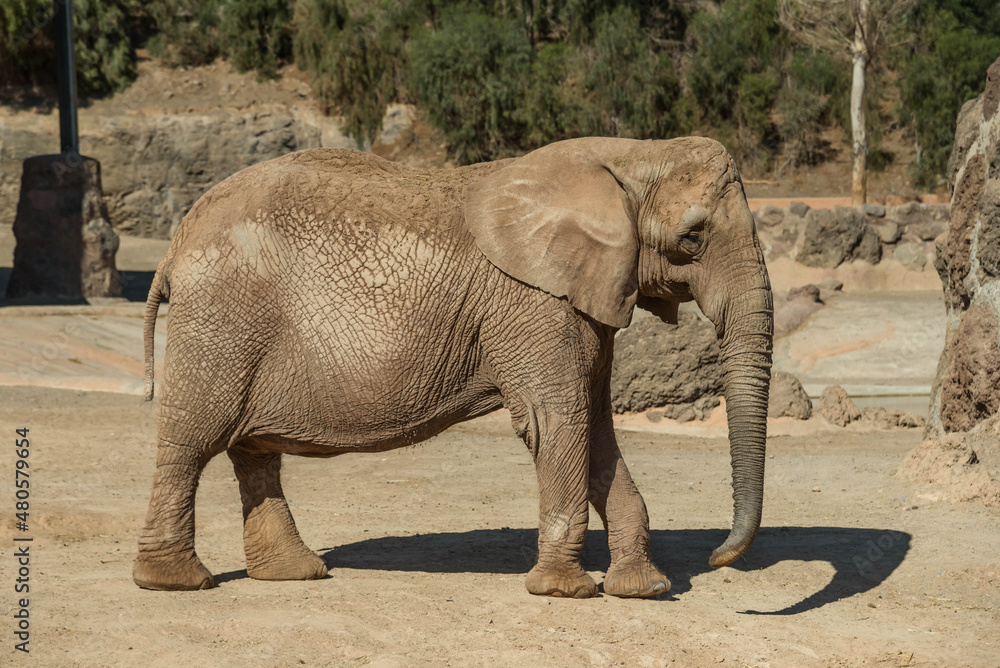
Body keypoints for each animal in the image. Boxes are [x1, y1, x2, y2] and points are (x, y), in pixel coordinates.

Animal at [133, 136, 773, 599]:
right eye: (693, 237)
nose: (717, 557)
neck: (631, 153)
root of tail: (176, 240)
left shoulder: (584, 298)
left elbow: (594, 424)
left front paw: (644, 589)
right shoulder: (533, 301)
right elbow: (555, 420)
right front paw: (565, 593)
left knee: (252, 450)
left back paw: (295, 574)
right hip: (220, 317)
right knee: (191, 442)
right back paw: (176, 582)